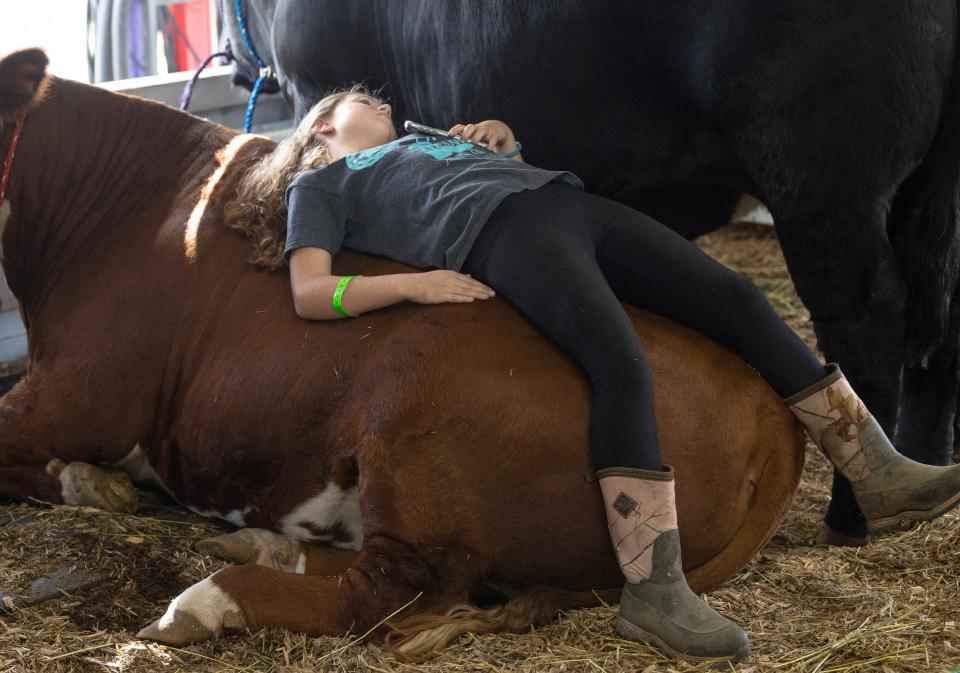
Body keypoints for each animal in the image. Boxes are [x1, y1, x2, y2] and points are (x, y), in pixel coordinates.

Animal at [0, 48, 804, 656]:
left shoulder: (76, 399)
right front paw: (97, 485)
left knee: (383, 592)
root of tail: (771, 415)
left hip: (411, 421)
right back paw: (261, 546)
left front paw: (90, 483)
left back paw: (207, 599)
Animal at [221, 0, 960, 544]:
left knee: (866, 315)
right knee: (934, 329)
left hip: (822, 178)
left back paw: (853, 514)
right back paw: (927, 470)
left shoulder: (315, 80)